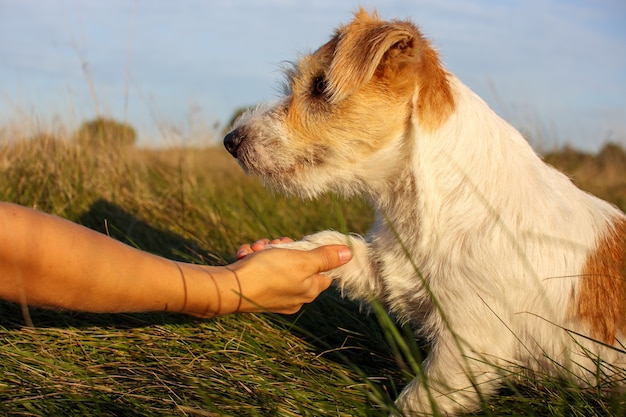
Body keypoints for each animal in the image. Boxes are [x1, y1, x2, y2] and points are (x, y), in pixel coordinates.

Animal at [224, 8, 624, 414]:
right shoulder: (389, 267)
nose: (231, 141)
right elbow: (333, 243)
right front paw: (279, 252)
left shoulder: (467, 347)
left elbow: (415, 402)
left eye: (320, 85)